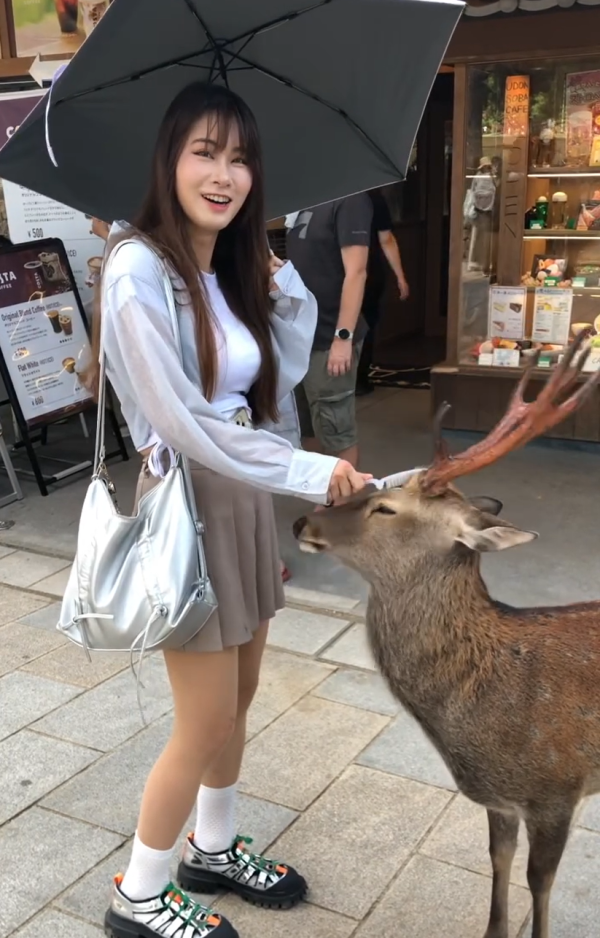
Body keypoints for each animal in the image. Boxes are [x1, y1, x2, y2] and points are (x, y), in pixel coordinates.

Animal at [293, 333, 600, 938]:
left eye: (385, 508)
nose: (303, 522)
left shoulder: (560, 788)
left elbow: (540, 882)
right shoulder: (500, 801)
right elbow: (498, 859)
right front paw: (493, 930)